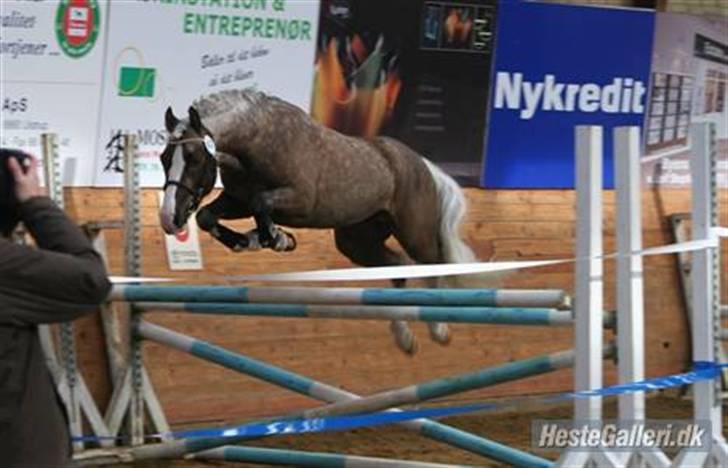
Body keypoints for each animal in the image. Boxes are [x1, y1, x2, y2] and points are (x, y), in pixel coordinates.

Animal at [158, 88, 477, 355]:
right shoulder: (238, 201)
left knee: (431, 264)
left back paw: (439, 328)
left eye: (193, 157)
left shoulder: (300, 201)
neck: (258, 140)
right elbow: (207, 216)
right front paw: (249, 240)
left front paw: (278, 239)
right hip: (356, 240)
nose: (169, 218)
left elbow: (263, 206)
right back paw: (404, 336)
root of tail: (424, 164)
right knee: (398, 265)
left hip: (414, 233)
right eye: (163, 158)